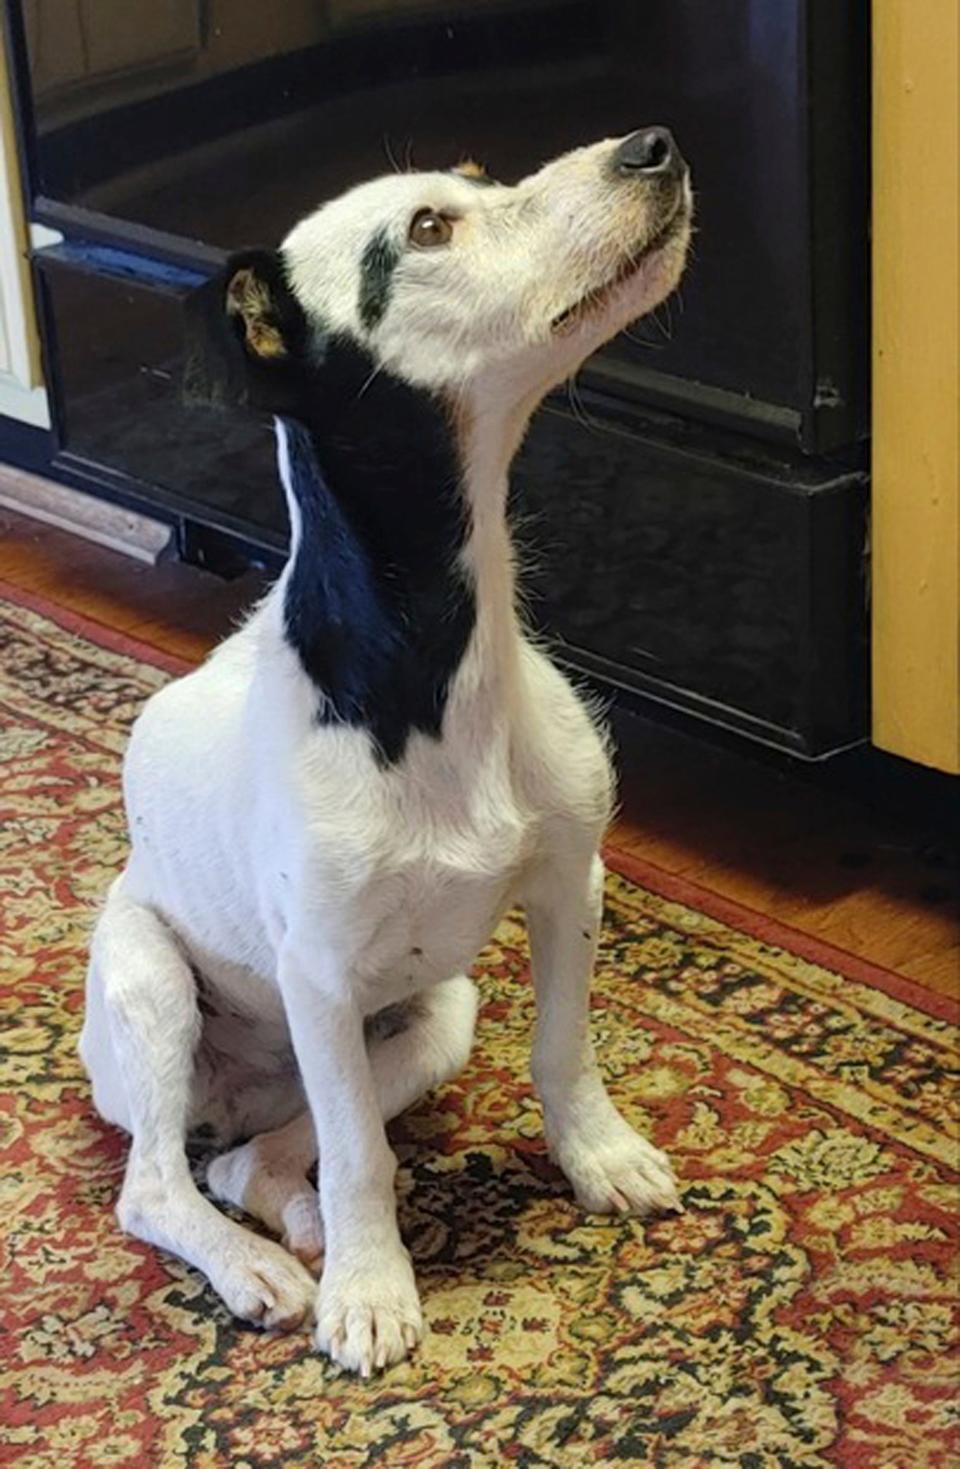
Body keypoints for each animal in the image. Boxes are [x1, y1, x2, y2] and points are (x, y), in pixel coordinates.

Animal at [80, 129, 692, 1374]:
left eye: (479, 182)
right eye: (425, 231)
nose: (651, 146)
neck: (434, 661)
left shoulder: (572, 879)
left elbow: (562, 1047)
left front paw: (597, 1154)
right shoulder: (315, 973)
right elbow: (361, 1150)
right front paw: (370, 1288)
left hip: (438, 1014)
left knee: (258, 1153)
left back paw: (288, 1207)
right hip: (152, 987)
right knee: (164, 1182)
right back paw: (264, 1263)